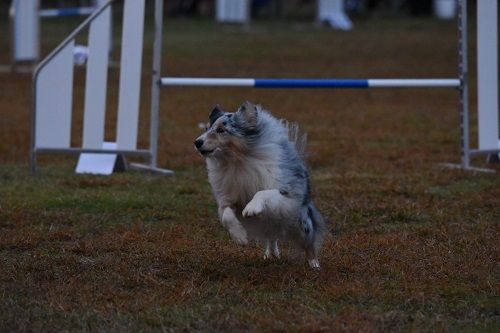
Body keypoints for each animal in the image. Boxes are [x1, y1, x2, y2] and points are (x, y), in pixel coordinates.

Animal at [193, 101, 326, 268]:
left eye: (221, 130)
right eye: (207, 128)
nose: (197, 142)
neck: (236, 160)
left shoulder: (285, 194)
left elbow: (262, 193)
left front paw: (251, 209)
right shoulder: (229, 197)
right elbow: (226, 215)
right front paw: (240, 237)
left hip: (299, 221)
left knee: (309, 241)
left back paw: (314, 264)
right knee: (271, 235)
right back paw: (271, 253)